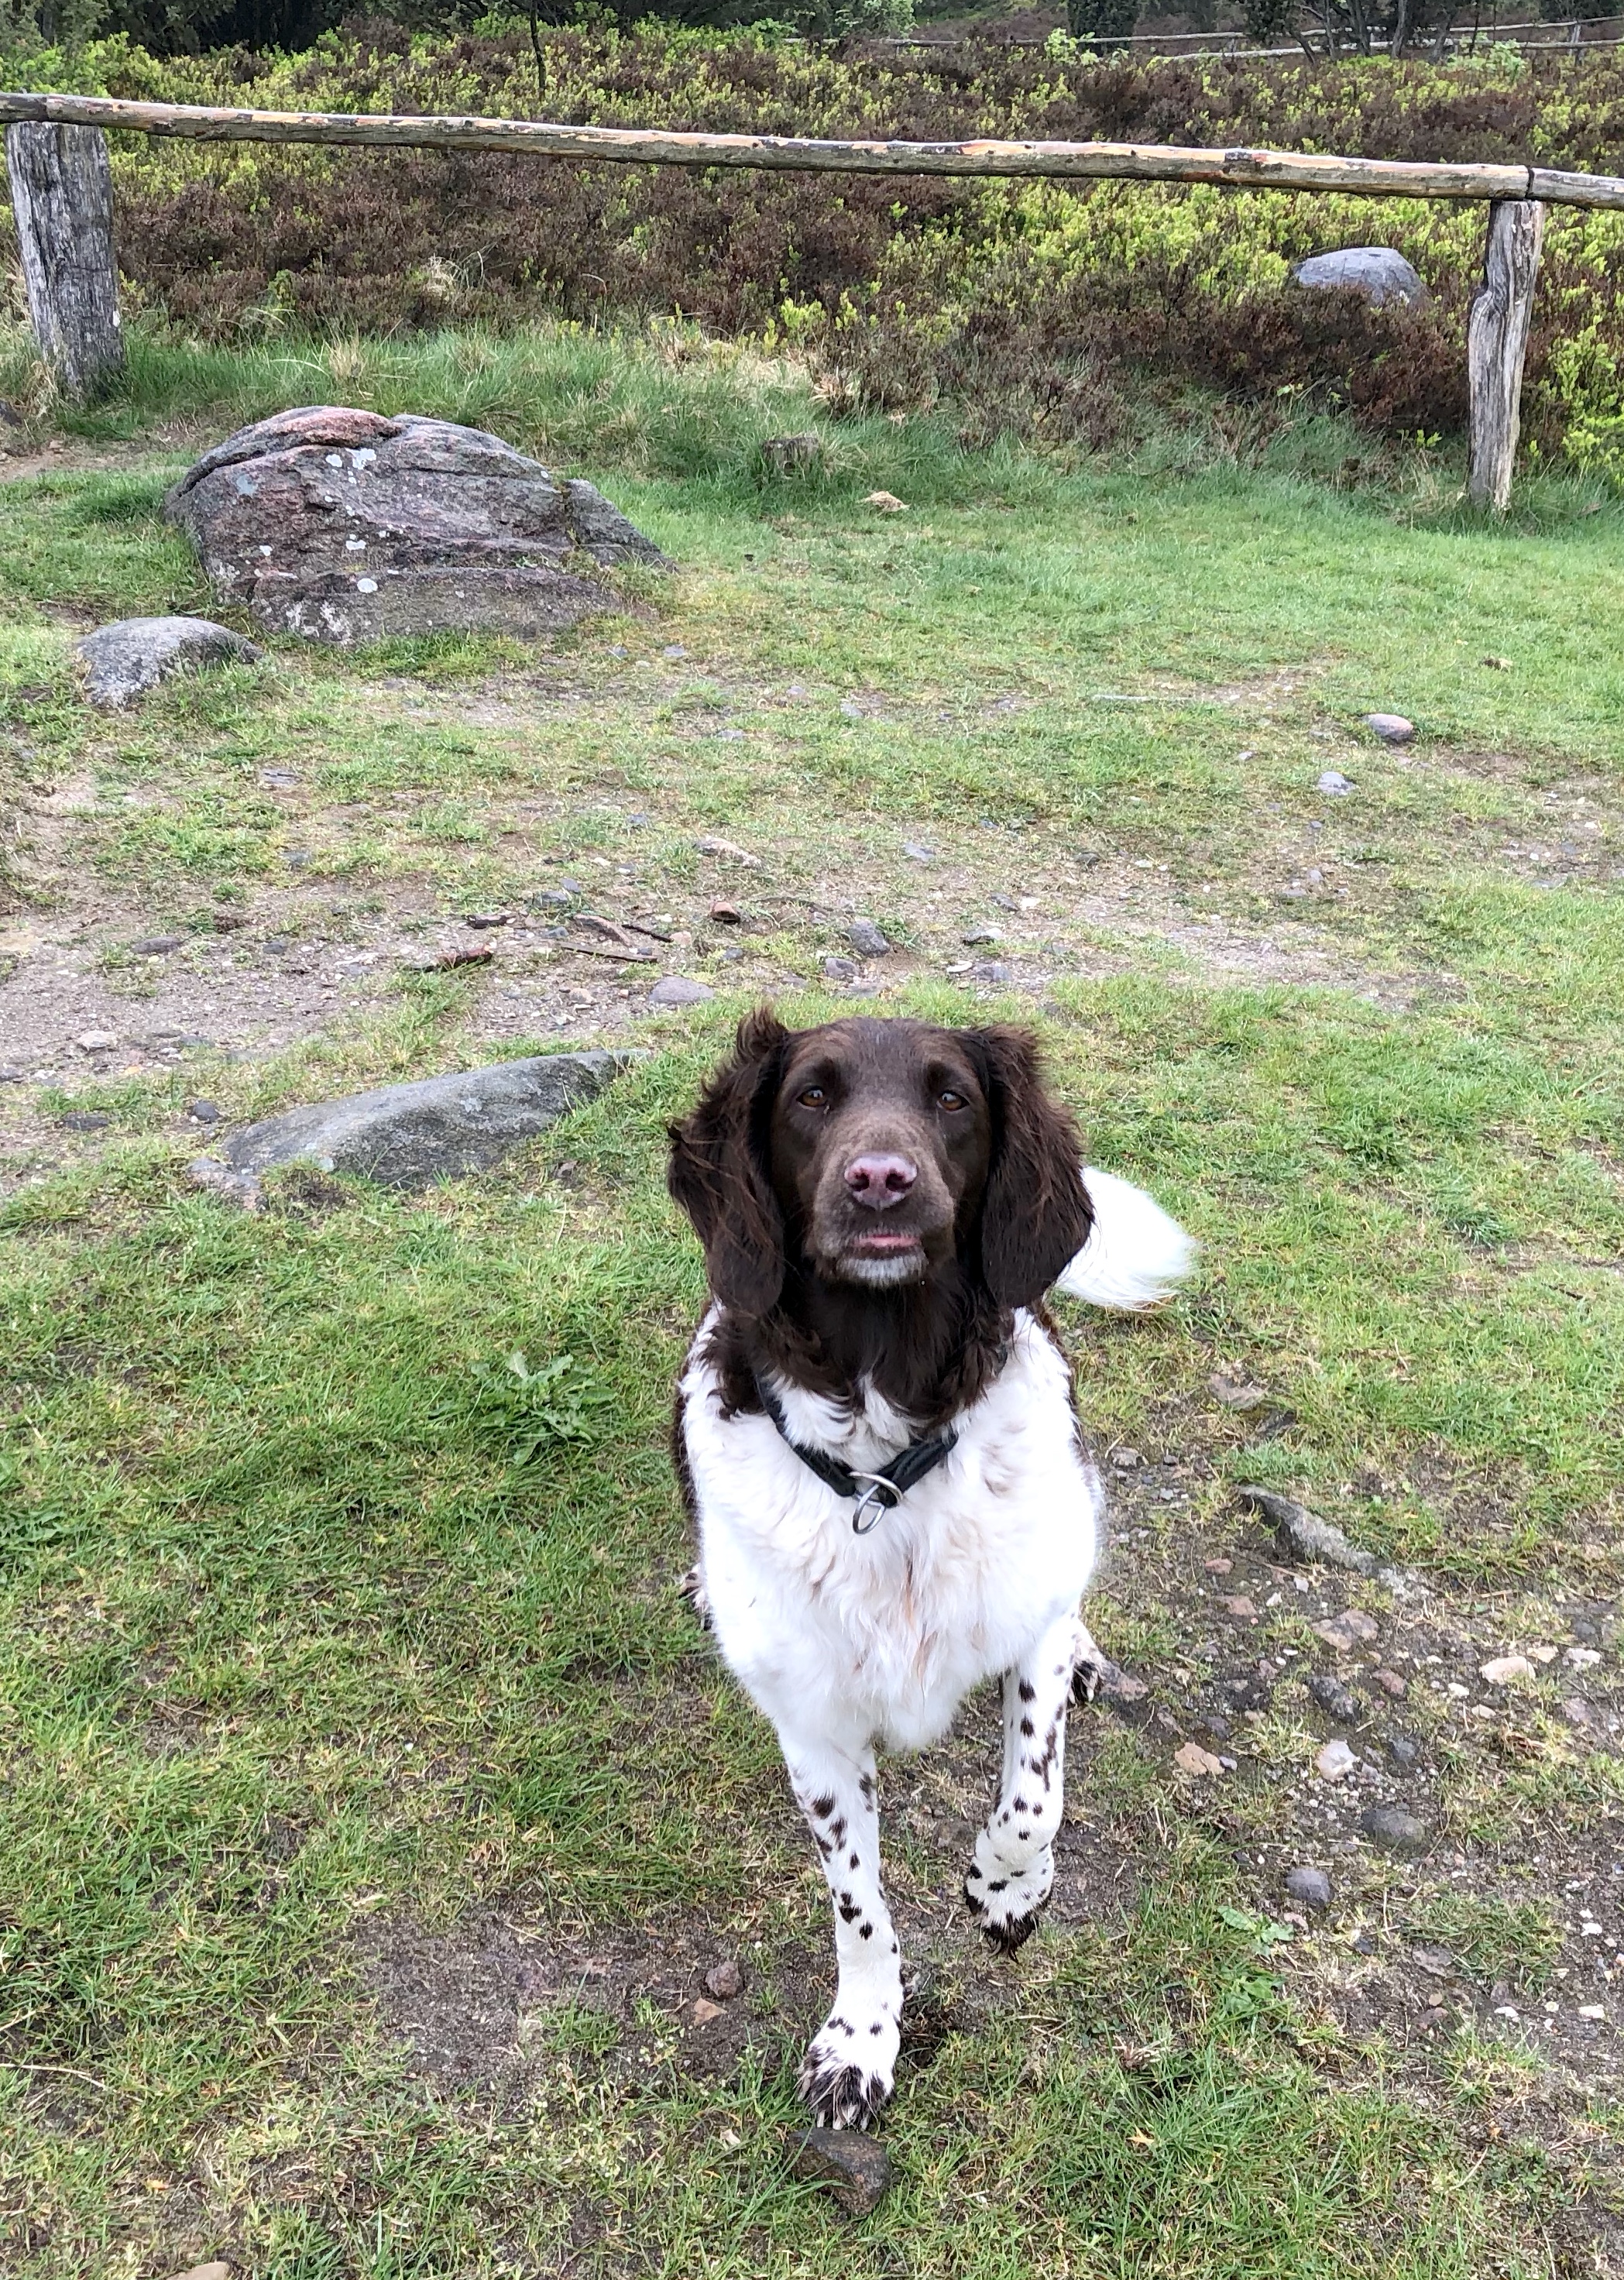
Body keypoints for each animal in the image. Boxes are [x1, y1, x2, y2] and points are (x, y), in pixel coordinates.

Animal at [666, 1008, 1186, 2124]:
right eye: (811, 1096)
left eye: (950, 1097)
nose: (879, 1180)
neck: (883, 1470)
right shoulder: (814, 1730)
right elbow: (858, 1908)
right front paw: (860, 2040)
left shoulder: (1024, 1626)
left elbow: (1032, 1802)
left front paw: (1005, 1890)